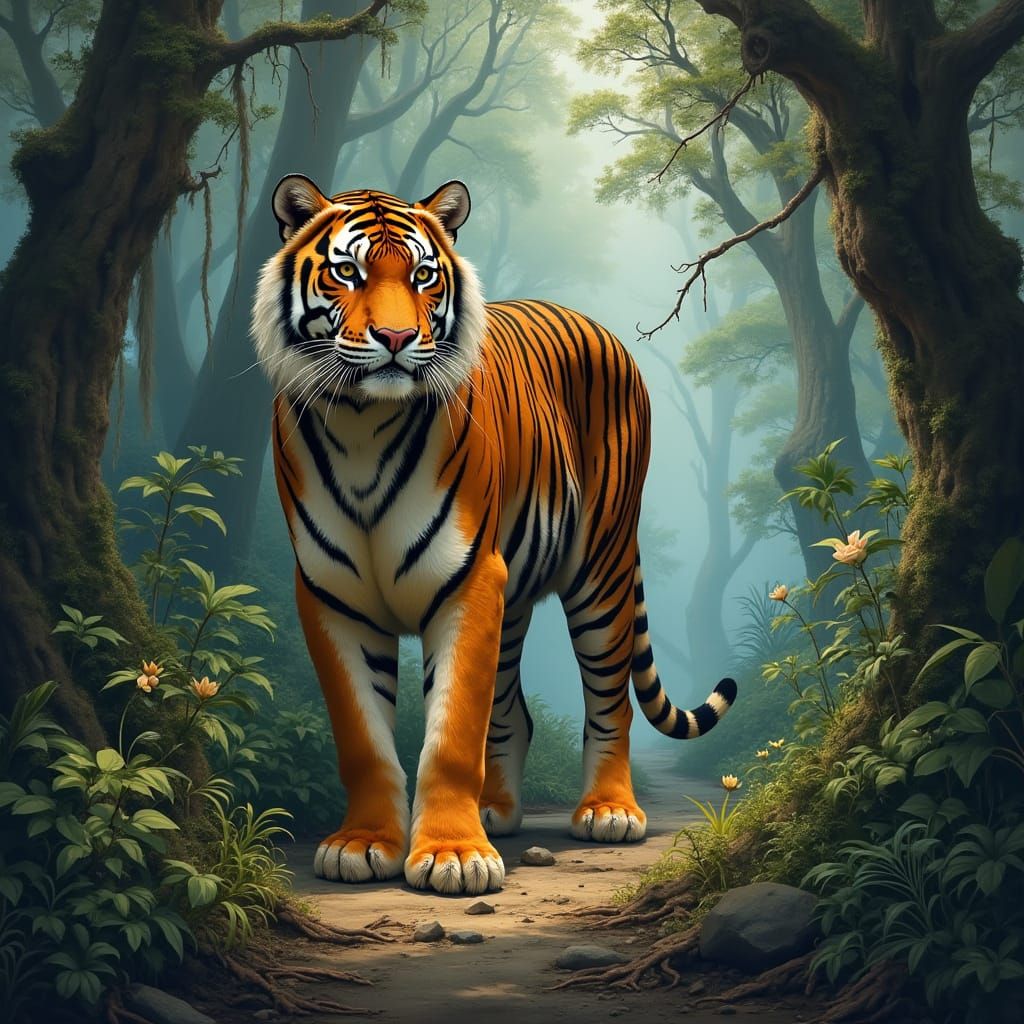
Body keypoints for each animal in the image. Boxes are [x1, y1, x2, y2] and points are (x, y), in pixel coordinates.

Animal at [252, 174, 737, 896]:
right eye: (348, 272)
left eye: (423, 276)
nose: (396, 336)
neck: (363, 424)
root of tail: (595, 323)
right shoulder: (332, 595)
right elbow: (363, 737)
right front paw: (364, 844)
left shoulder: (469, 582)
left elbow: (452, 734)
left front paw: (452, 855)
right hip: (513, 600)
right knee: (515, 711)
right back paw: (497, 812)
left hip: (601, 572)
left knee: (610, 697)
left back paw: (609, 811)